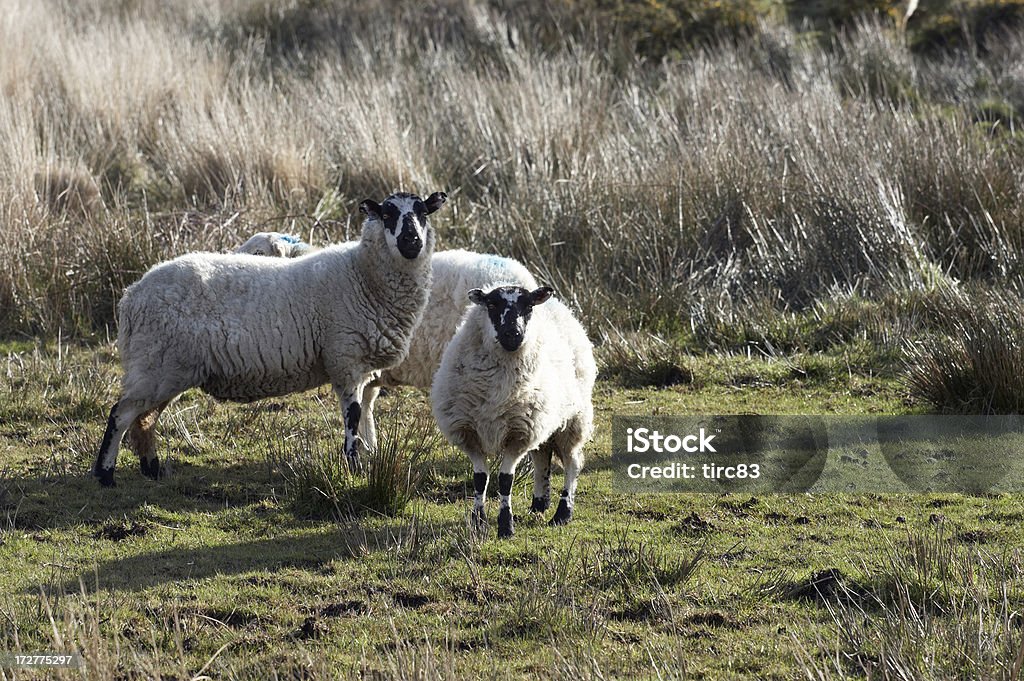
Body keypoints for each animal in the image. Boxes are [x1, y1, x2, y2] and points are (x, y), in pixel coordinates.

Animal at [94, 188, 446, 485]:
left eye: (422, 212)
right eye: (387, 213)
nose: (412, 241)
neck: (363, 274)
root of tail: (131, 297)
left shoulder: (360, 368)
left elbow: (362, 420)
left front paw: (362, 460)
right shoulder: (345, 359)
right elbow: (353, 417)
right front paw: (354, 466)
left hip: (164, 369)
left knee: (144, 420)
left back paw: (152, 469)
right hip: (157, 364)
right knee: (121, 414)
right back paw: (105, 474)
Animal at [428, 282, 598, 536]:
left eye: (528, 306)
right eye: (491, 304)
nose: (513, 334)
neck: (496, 388)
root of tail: (560, 305)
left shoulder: (517, 434)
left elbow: (505, 479)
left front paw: (505, 526)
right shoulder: (470, 433)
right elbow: (480, 478)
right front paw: (478, 522)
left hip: (573, 419)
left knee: (572, 463)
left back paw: (562, 513)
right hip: (543, 419)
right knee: (542, 457)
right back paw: (539, 503)